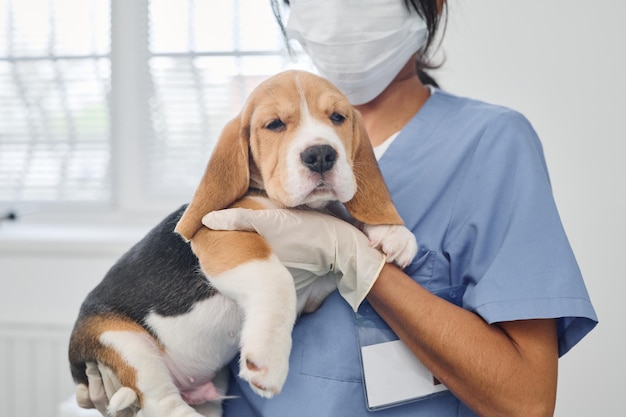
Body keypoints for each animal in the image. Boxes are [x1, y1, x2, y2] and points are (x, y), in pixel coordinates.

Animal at [69, 71, 414, 416]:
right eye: (274, 124)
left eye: (338, 117)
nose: (320, 155)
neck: (296, 209)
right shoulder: (220, 233)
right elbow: (276, 280)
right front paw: (268, 355)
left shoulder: (315, 285)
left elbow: (342, 223)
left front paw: (391, 232)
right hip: (122, 342)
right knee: (160, 402)